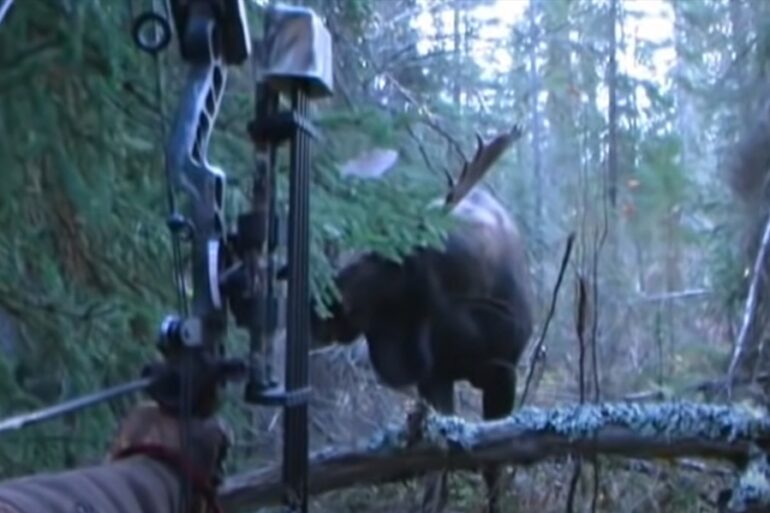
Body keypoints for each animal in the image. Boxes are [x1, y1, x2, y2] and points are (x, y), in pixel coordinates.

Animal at [310, 124, 533, 513]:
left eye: (381, 260)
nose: (316, 309)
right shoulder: (434, 378)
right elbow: (435, 474)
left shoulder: (504, 371)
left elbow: (493, 470)